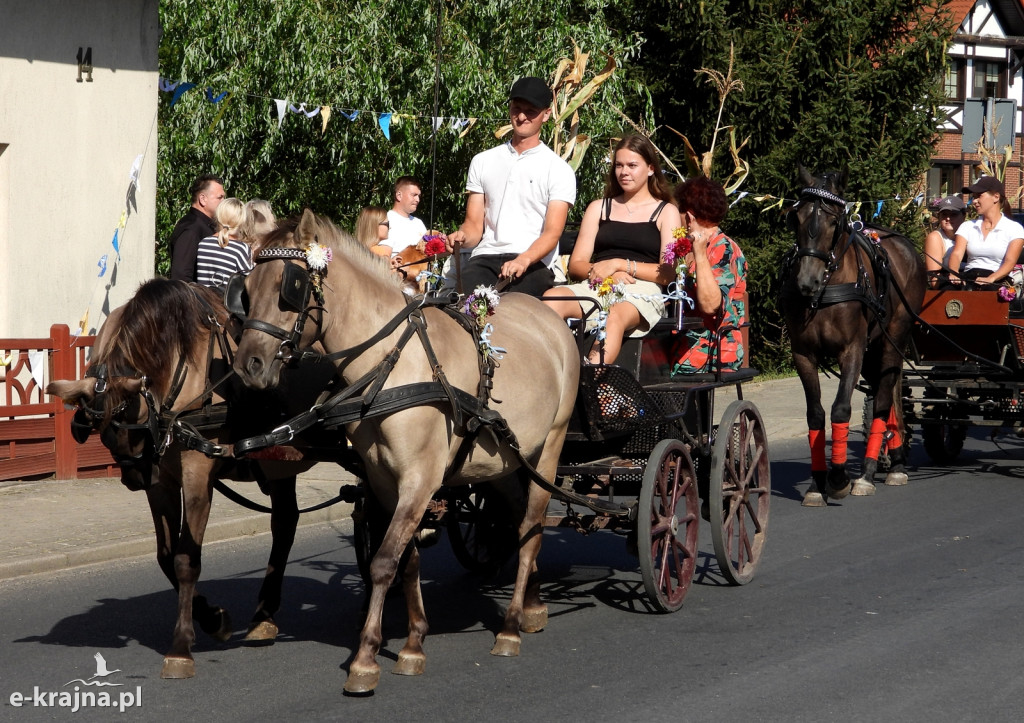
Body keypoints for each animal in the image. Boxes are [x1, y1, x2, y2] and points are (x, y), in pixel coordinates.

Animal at [45, 280, 319, 675]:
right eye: (104, 433)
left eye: (132, 418)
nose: (135, 475)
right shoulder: (162, 484)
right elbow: (166, 555)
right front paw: (212, 618)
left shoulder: (196, 474)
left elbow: (187, 559)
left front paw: (181, 646)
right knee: (285, 522)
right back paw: (264, 614)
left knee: (285, 525)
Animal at [234, 209, 585, 692]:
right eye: (246, 290)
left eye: (291, 287)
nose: (248, 366)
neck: (393, 362)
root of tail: (549, 318)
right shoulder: (386, 481)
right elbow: (407, 559)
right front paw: (414, 642)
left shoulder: (420, 478)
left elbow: (384, 561)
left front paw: (366, 658)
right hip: (500, 461)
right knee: (517, 519)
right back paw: (532, 603)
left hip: (549, 448)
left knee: (532, 528)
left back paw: (512, 625)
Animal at [782, 167, 929, 503]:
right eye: (796, 217)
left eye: (834, 221)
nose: (806, 281)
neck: (825, 291)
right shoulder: (803, 354)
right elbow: (815, 414)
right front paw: (816, 484)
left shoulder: (852, 350)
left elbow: (840, 409)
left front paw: (838, 479)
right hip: (878, 348)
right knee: (889, 391)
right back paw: (895, 458)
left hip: (894, 337)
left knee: (884, 398)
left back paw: (869, 473)